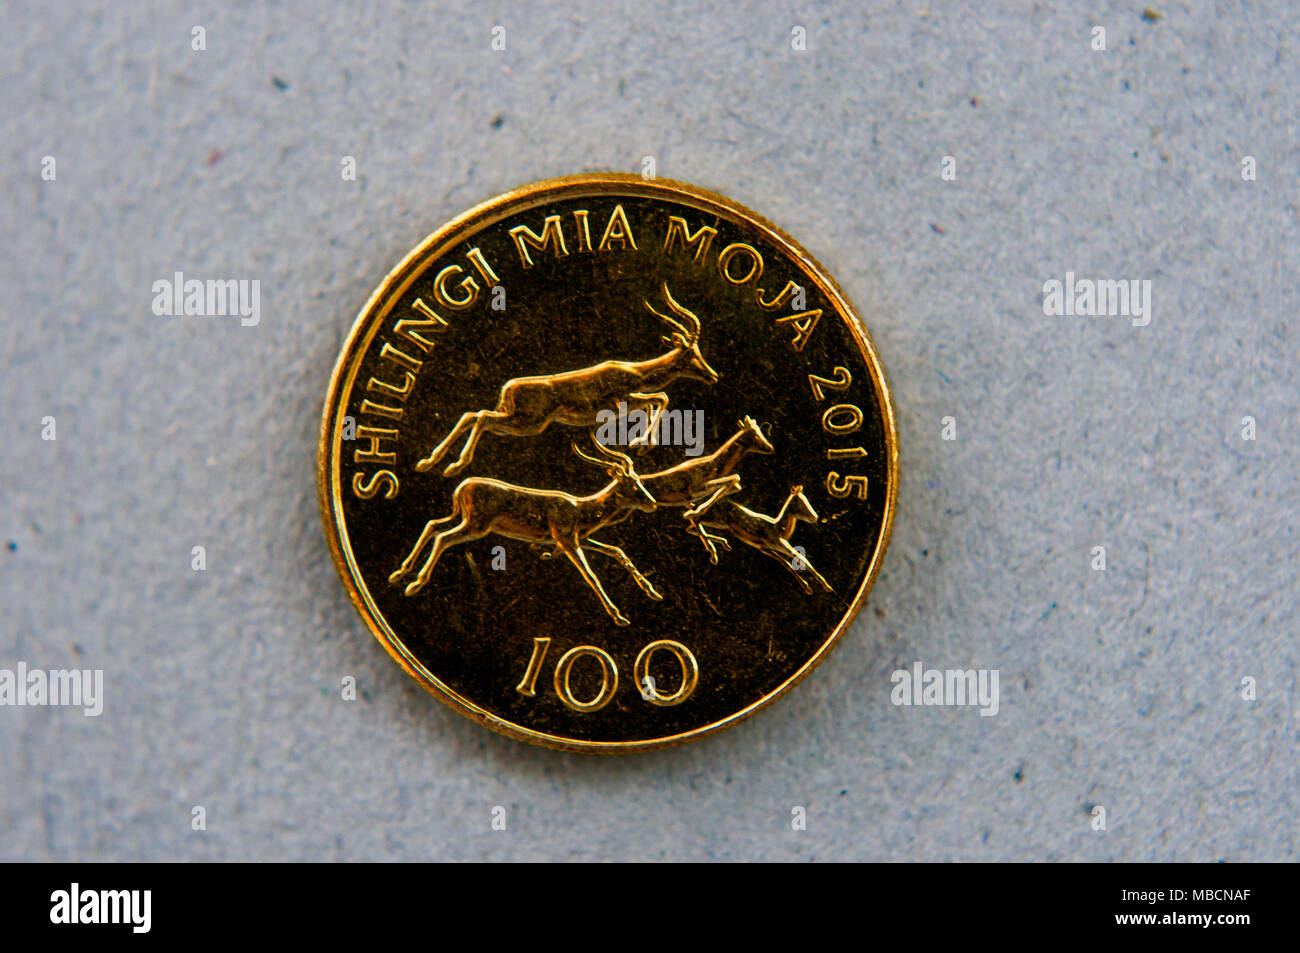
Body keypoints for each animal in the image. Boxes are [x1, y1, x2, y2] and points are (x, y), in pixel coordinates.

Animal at [387, 439, 665, 624]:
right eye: (632, 483)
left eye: (639, 479)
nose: (652, 503)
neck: (581, 508)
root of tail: (463, 485)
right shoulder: (568, 541)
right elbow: (591, 575)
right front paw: (619, 616)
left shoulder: (578, 539)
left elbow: (617, 551)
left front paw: (654, 592)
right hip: (476, 526)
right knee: (442, 538)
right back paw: (414, 585)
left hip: (461, 518)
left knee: (432, 526)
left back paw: (400, 573)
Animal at [691, 486, 832, 590]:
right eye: (800, 502)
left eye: (806, 499)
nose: (815, 517)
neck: (780, 528)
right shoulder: (779, 545)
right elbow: (802, 558)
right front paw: (825, 586)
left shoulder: (766, 549)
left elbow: (787, 563)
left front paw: (807, 586)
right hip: (718, 520)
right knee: (694, 519)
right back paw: (714, 554)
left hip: (720, 523)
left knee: (691, 526)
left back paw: (723, 545)